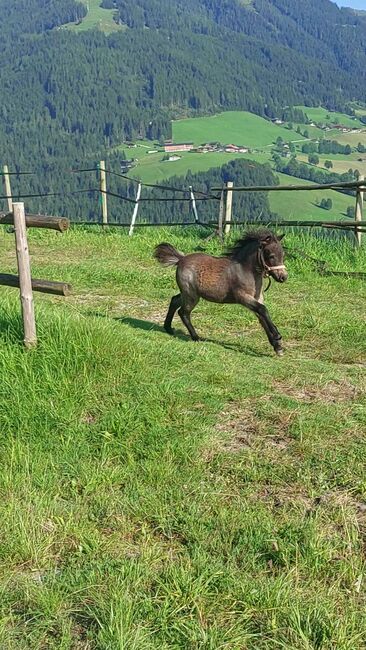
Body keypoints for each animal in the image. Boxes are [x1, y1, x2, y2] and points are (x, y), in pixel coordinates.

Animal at [153, 229, 288, 354]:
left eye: (283, 255)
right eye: (271, 256)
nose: (283, 277)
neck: (246, 270)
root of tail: (181, 259)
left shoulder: (257, 298)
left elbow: (262, 317)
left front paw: (277, 347)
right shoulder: (243, 297)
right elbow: (263, 310)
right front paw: (277, 335)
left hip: (188, 294)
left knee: (174, 300)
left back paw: (168, 328)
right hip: (191, 295)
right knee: (183, 312)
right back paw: (196, 337)